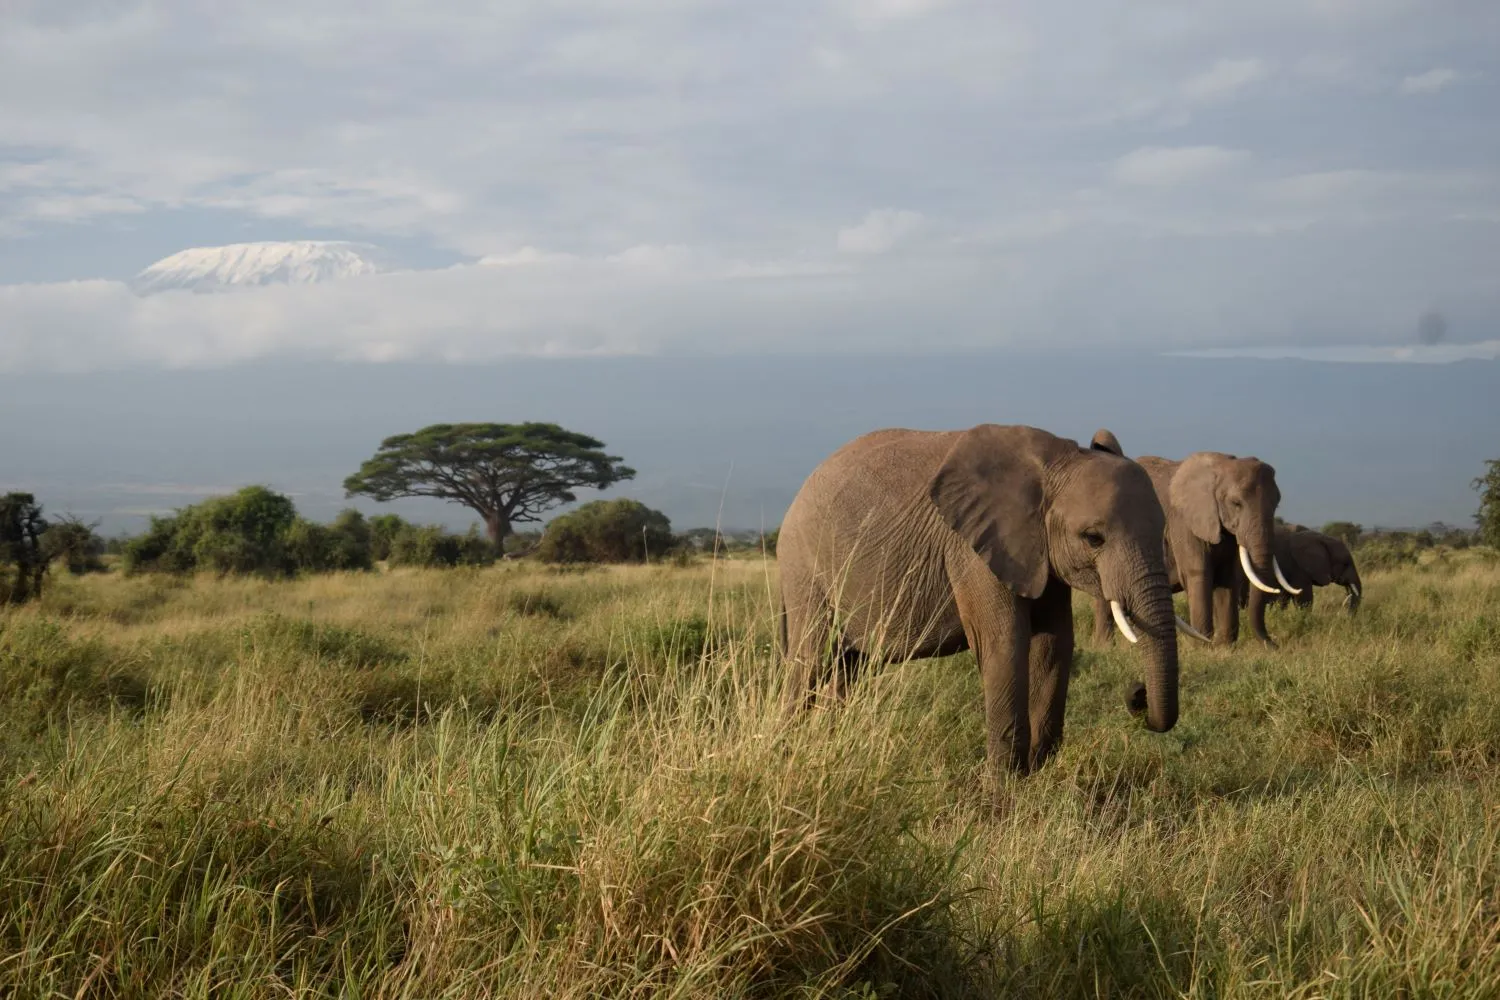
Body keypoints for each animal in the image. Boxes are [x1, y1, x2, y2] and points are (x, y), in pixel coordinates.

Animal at [775, 423, 1191, 805]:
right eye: (1093, 538)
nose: (1137, 694)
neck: (1056, 462)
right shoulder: (972, 549)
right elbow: (1004, 644)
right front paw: (1003, 793)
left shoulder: (1040, 552)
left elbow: (1054, 645)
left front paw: (1033, 774)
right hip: (803, 566)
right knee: (810, 659)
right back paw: (789, 750)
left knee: (849, 666)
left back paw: (829, 751)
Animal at [1089, 433, 1297, 648]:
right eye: (1236, 503)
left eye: (1276, 505)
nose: (1275, 645)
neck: (1222, 466)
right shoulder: (1184, 523)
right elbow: (1199, 573)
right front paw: (1202, 647)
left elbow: (1228, 577)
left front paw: (1224, 647)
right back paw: (1105, 646)